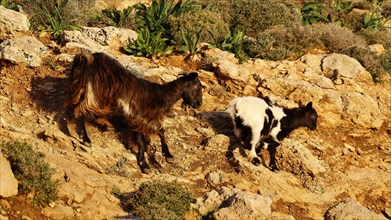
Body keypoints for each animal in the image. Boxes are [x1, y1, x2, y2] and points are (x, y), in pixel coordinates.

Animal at [66, 52, 204, 174]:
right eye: (196, 86)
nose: (198, 104)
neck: (160, 95)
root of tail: (85, 58)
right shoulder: (138, 117)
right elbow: (147, 137)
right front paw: (148, 163)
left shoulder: (141, 119)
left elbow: (156, 133)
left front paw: (162, 157)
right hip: (93, 91)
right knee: (79, 111)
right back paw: (85, 138)